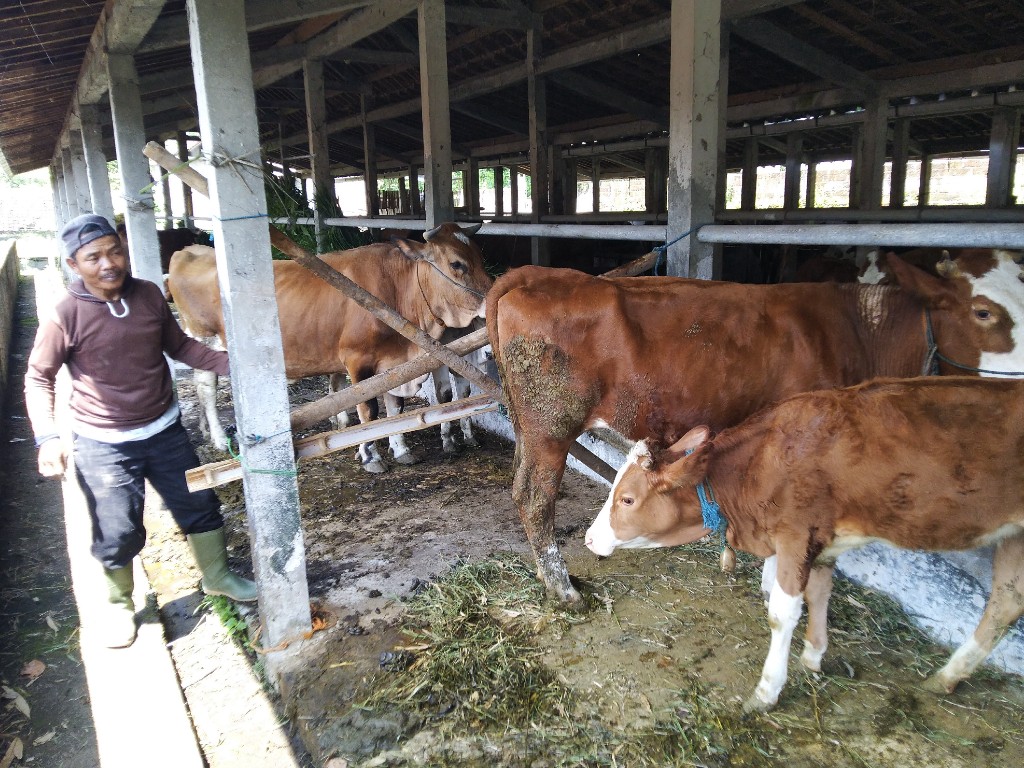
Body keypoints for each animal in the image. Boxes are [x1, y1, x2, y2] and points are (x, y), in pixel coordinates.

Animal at [166, 222, 491, 473]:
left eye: (480, 255)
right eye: (456, 264)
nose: (492, 298)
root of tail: (190, 250)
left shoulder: (393, 362)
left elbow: (394, 407)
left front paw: (401, 450)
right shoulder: (357, 360)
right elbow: (369, 409)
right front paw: (370, 455)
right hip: (203, 336)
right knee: (206, 389)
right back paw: (219, 439)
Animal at [485, 250, 1024, 602]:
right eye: (983, 311)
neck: (858, 330)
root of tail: (535, 274)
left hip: (529, 426)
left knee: (518, 486)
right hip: (552, 424)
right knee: (535, 497)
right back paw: (563, 589)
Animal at [585, 378, 1024, 716]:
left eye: (627, 499)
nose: (589, 538)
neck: (757, 467)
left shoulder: (796, 534)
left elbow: (782, 614)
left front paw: (767, 691)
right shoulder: (823, 539)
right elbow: (819, 592)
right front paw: (813, 656)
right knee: (1005, 602)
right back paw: (947, 677)